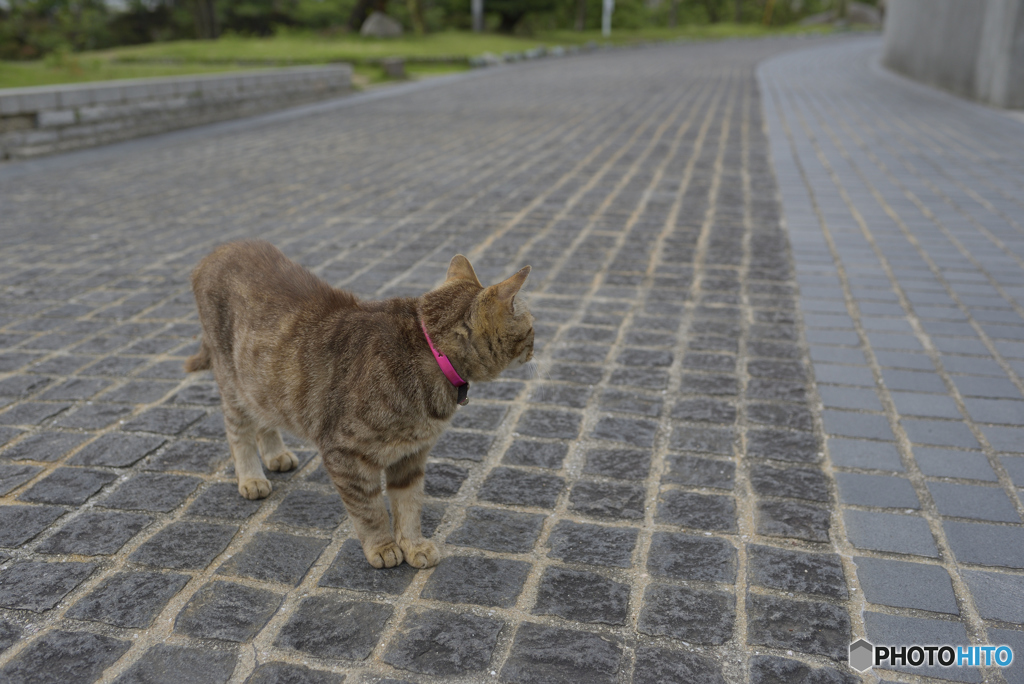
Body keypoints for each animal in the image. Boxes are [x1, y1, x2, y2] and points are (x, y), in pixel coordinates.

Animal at [186, 240, 536, 565]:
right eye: (532, 327)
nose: (537, 346)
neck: (431, 353)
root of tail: (222, 248)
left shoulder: (410, 456)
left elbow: (409, 506)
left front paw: (413, 545)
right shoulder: (344, 453)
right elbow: (370, 510)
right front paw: (382, 546)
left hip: (263, 384)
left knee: (265, 417)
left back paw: (274, 453)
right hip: (233, 382)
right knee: (238, 432)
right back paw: (251, 476)